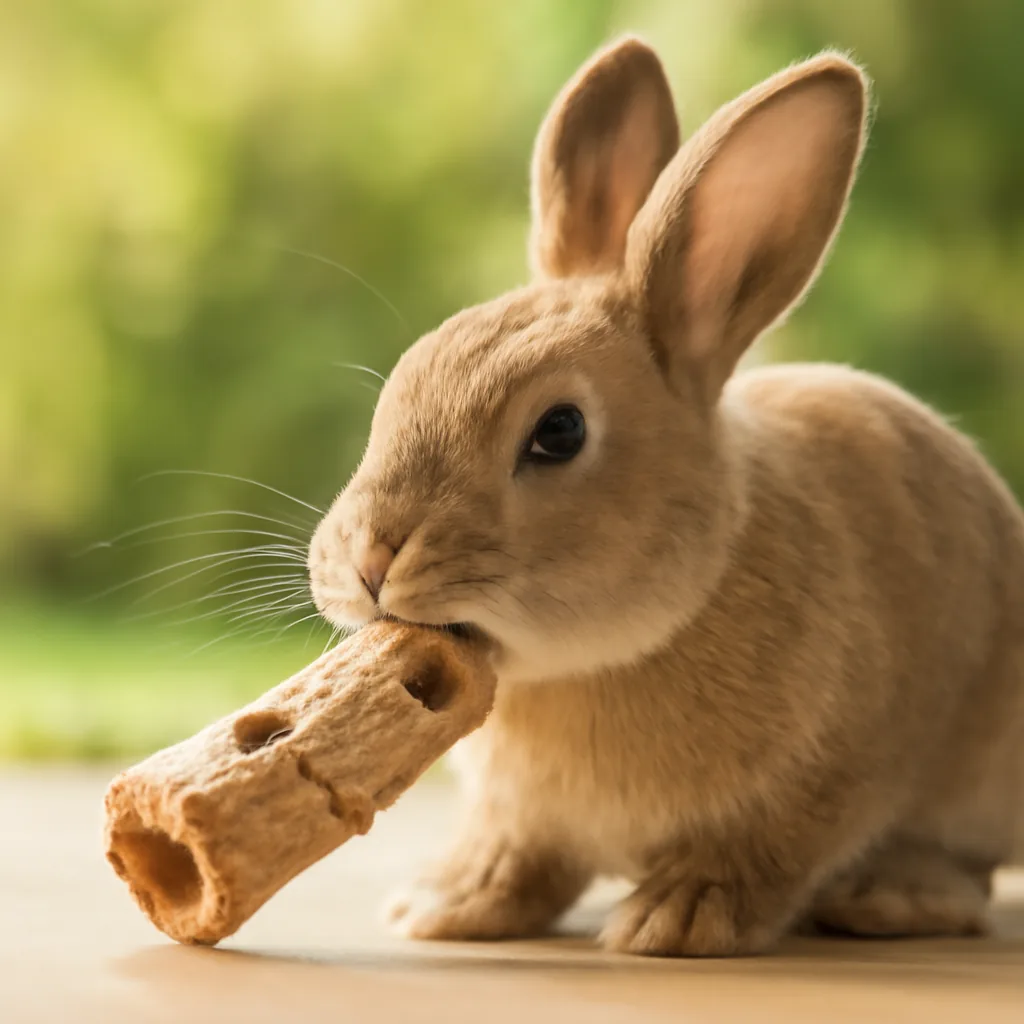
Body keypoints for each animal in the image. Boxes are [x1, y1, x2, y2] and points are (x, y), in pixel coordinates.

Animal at [307, 37, 1024, 956]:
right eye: (404, 377)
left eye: (561, 431)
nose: (369, 559)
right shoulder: (522, 820)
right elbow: (518, 856)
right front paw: (447, 906)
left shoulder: (827, 783)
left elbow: (768, 851)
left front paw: (676, 918)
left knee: (963, 869)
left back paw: (890, 897)